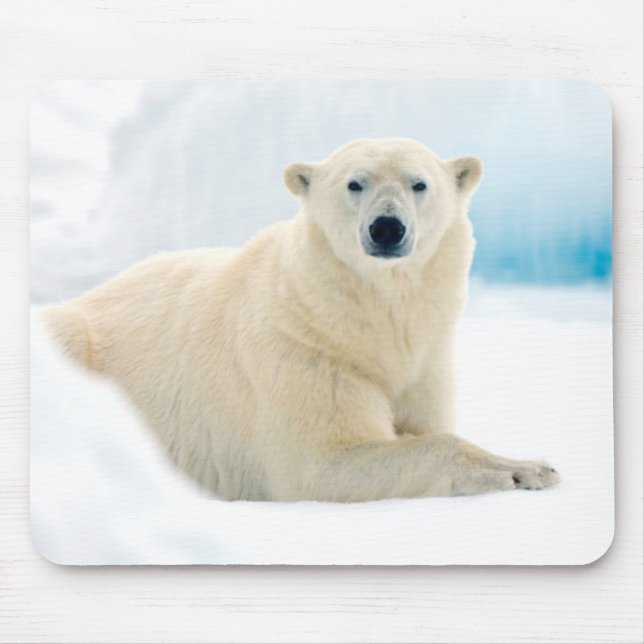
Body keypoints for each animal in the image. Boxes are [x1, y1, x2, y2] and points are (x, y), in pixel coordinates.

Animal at [42, 137, 559, 501]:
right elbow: (323, 460)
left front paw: (534, 464)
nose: (387, 228)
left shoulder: (425, 362)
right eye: (355, 183)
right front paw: (522, 470)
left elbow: (425, 421)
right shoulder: (302, 352)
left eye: (419, 183)